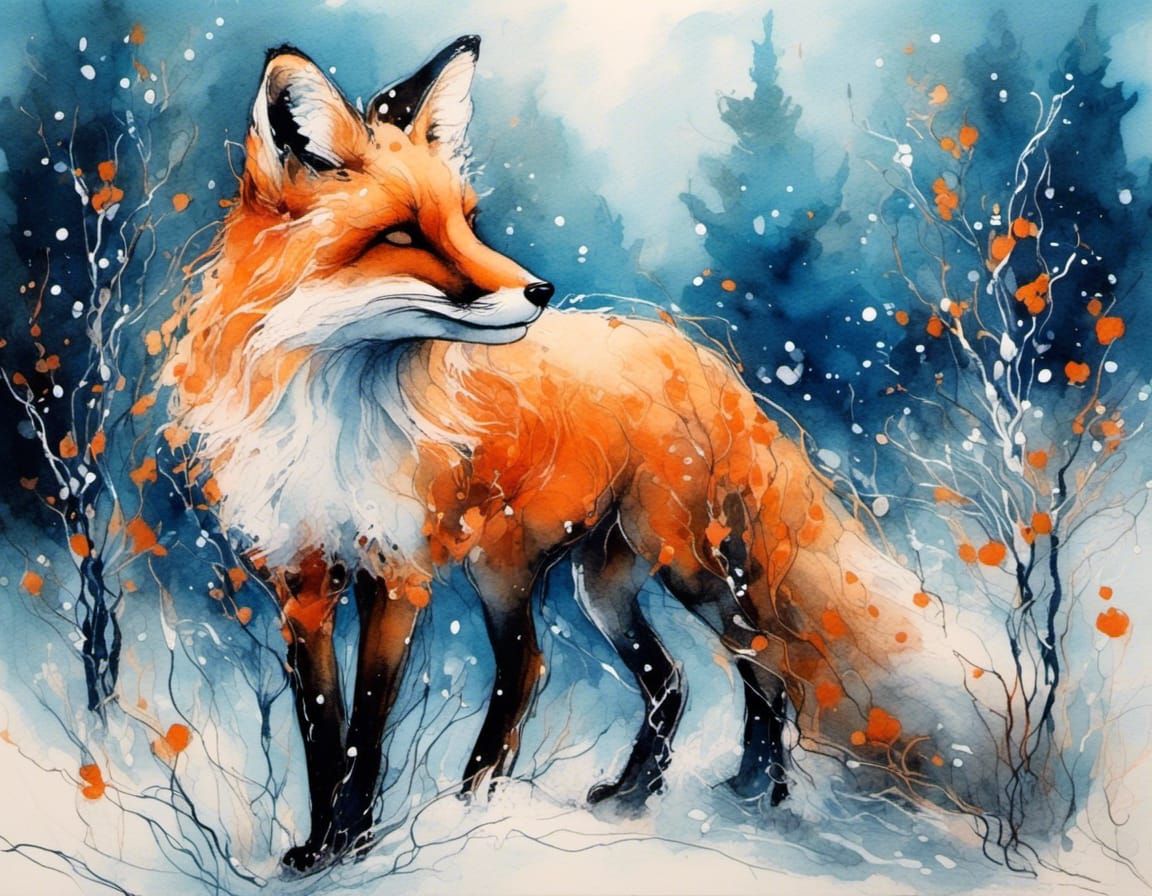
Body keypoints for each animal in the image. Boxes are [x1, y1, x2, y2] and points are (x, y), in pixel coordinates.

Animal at [164, 36, 1012, 871]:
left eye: (468, 221)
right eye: (403, 233)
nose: (541, 292)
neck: (332, 411)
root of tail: (698, 354)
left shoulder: (397, 570)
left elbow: (364, 732)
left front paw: (353, 844)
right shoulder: (301, 578)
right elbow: (320, 728)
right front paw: (318, 849)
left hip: (656, 564)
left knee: (740, 661)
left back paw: (727, 794)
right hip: (591, 581)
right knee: (658, 678)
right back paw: (638, 793)